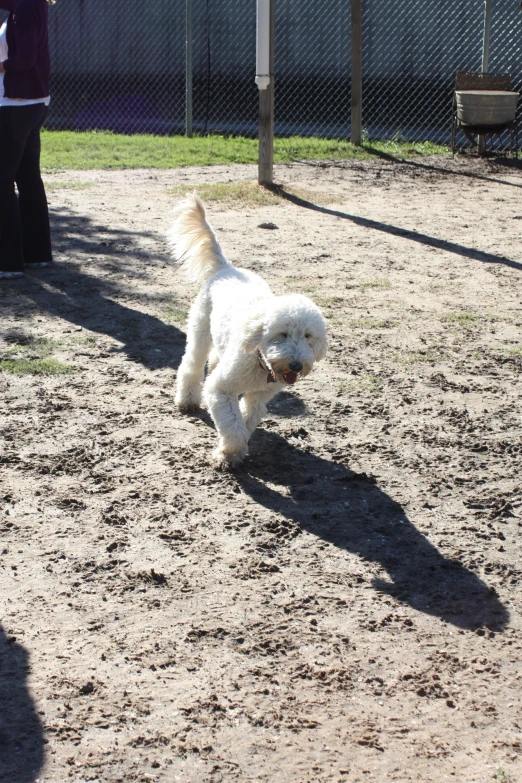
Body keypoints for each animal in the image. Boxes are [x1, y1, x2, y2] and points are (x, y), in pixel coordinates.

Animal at [169, 194, 328, 468]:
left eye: (308, 336)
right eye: (281, 334)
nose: (296, 365)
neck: (261, 364)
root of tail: (225, 268)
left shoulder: (259, 397)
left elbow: (244, 421)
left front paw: (232, 452)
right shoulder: (220, 390)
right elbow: (233, 426)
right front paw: (227, 454)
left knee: (214, 360)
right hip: (200, 330)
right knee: (191, 365)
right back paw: (187, 400)